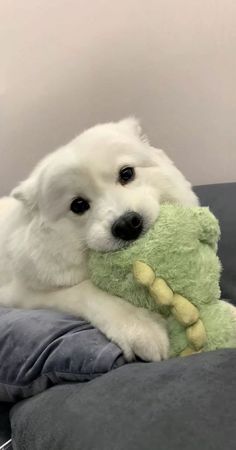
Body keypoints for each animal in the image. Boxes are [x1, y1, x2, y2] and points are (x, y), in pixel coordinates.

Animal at [0, 118, 199, 362]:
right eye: (78, 205)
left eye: (126, 173)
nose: (126, 224)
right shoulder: (24, 294)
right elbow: (89, 292)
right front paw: (142, 326)